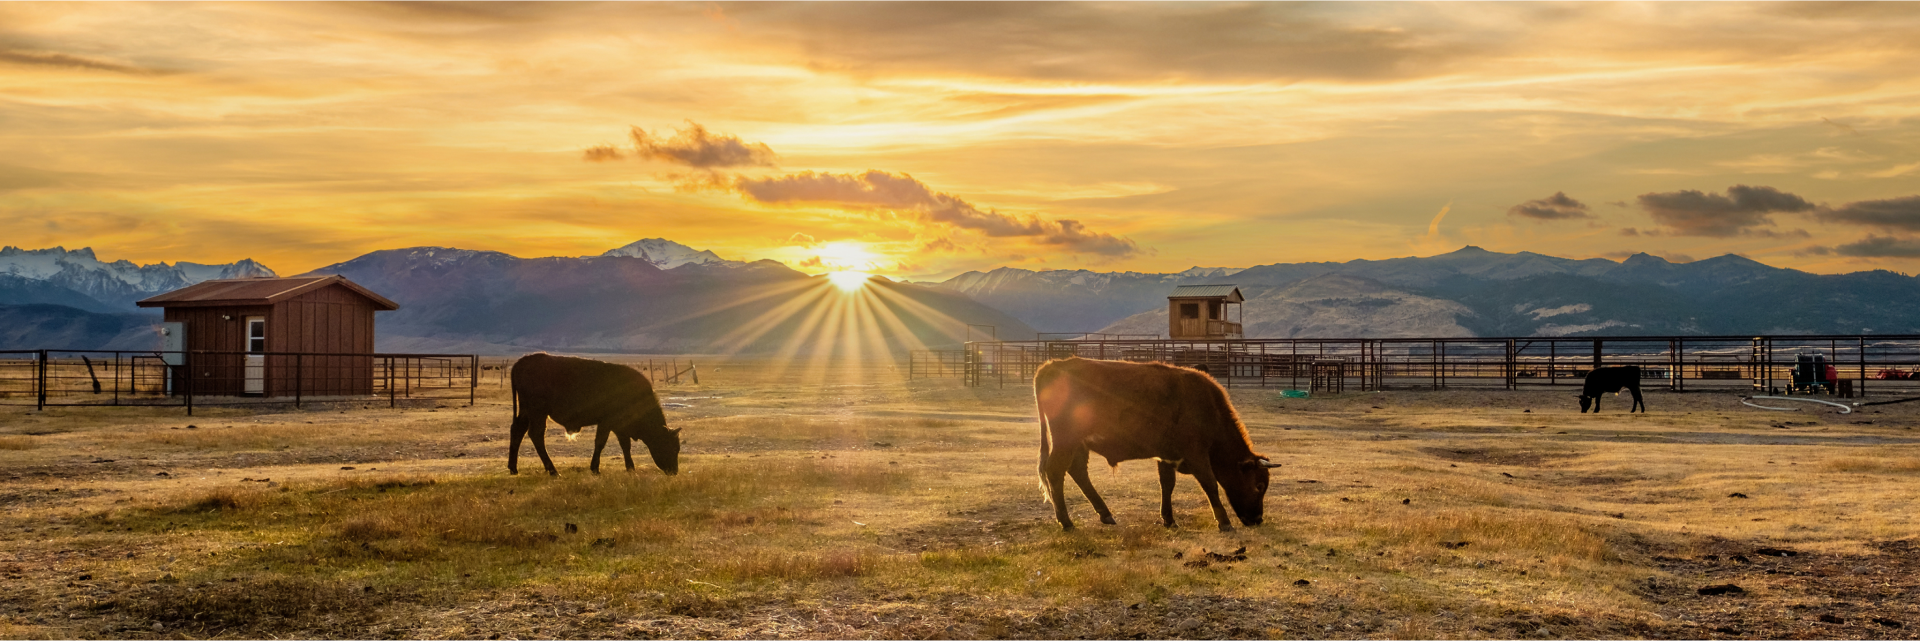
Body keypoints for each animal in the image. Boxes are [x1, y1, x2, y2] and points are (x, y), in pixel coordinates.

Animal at [510, 355, 683, 475]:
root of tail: (522, 362)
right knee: (536, 435)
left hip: (526, 411)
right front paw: (595, 469)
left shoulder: (620, 427)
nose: (674, 471)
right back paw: (553, 471)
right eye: (672, 447)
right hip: (538, 412)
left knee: (517, 430)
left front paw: (630, 468)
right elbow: (600, 443)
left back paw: (513, 468)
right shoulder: (607, 423)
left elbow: (625, 445)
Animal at [1029, 358, 1282, 533]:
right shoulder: (1197, 454)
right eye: (1259, 485)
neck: (1208, 409)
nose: (1257, 520)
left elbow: (1167, 484)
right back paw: (1066, 522)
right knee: (1055, 471)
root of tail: (1053, 365)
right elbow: (1210, 485)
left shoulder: (1167, 455)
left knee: (1078, 471)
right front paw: (1224, 522)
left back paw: (1105, 514)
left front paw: (1169, 519)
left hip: (1079, 443)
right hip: (1066, 440)